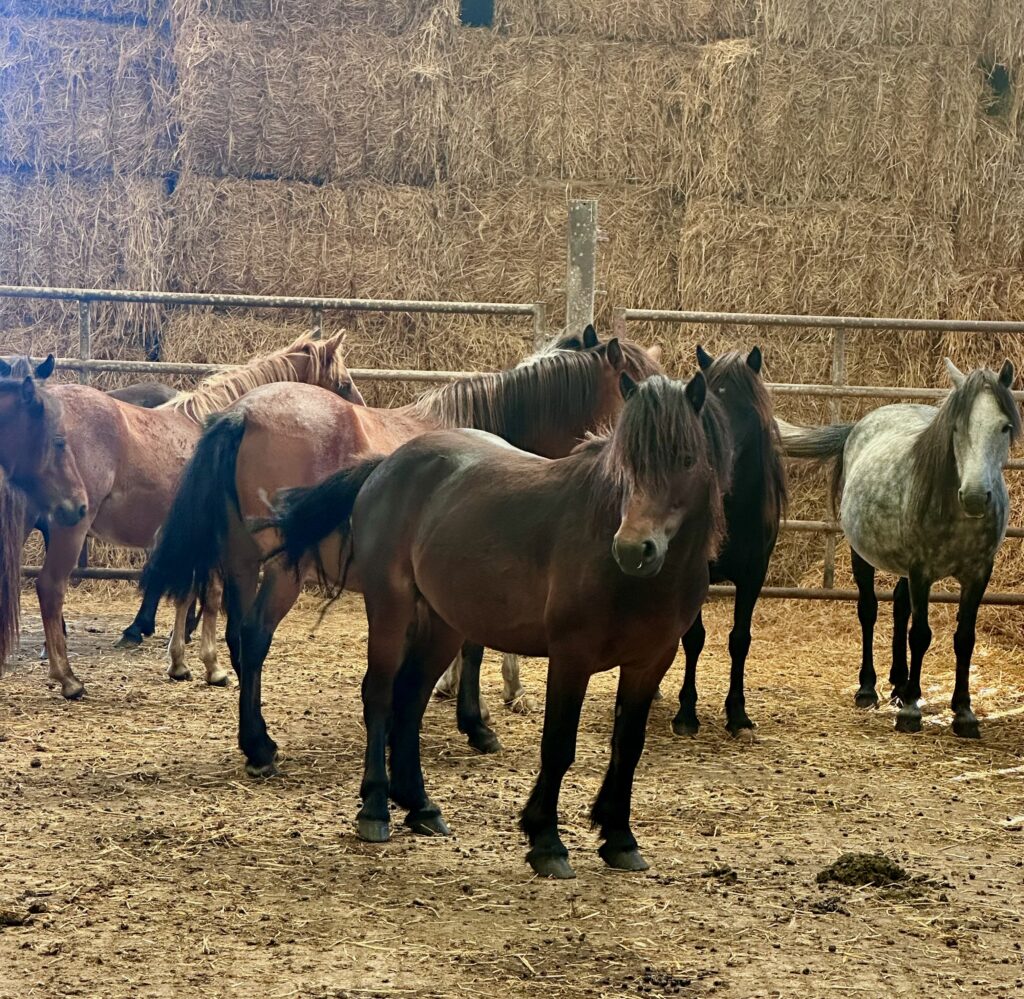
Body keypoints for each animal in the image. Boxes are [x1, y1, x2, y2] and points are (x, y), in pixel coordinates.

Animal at [138, 329, 663, 766]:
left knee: (238, 639)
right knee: (255, 636)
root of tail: (241, 413)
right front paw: (476, 724)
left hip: (242, 564)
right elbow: (472, 649)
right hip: (284, 570)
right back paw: (260, 746)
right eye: (634, 389)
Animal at [265, 372, 730, 878]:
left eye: (686, 459)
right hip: (391, 608)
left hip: (444, 623)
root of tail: (388, 463)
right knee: (381, 695)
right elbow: (558, 745)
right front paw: (546, 842)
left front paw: (620, 839)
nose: (633, 549)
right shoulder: (572, 657)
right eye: (624, 465)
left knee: (411, 697)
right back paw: (375, 810)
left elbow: (628, 746)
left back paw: (421, 807)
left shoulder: (651, 661)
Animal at [777, 358, 1019, 738]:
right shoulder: (922, 570)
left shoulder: (978, 573)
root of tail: (860, 425)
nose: (975, 497)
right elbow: (920, 635)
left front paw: (963, 713)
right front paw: (910, 712)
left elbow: (964, 638)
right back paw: (869, 689)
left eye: (1005, 427)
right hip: (862, 555)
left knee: (901, 607)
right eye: (956, 427)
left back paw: (899, 684)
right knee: (869, 610)